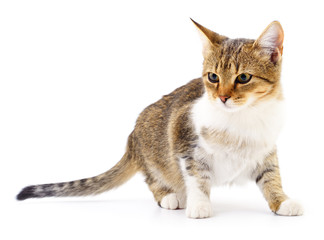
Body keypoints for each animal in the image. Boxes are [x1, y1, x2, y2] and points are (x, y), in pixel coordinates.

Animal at [17, 19, 304, 218]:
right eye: (213, 77)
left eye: (243, 77)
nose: (222, 97)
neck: (243, 117)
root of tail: (132, 138)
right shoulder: (183, 138)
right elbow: (196, 176)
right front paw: (200, 205)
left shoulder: (266, 149)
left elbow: (271, 176)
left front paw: (281, 201)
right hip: (153, 152)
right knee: (154, 179)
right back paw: (169, 196)